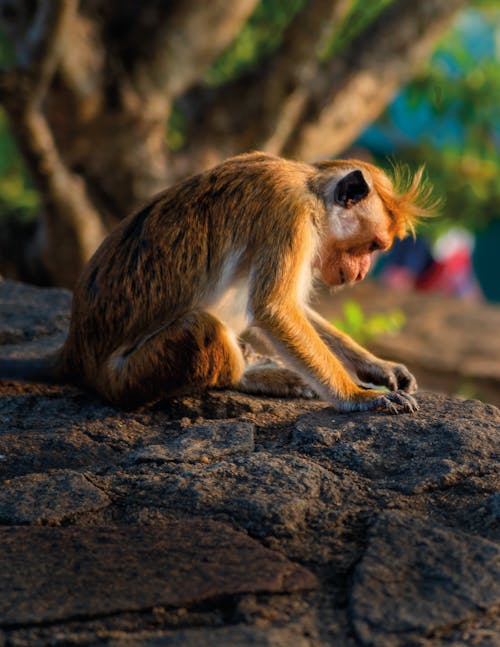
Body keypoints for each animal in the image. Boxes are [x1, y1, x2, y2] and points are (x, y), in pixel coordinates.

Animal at [0, 153, 434, 412]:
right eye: (372, 246)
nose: (362, 272)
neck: (311, 189)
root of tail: (75, 352)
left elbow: (291, 306)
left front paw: (378, 367)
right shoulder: (289, 216)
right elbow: (275, 309)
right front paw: (357, 397)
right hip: (127, 378)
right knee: (200, 326)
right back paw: (247, 375)